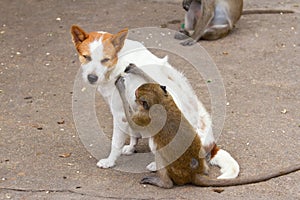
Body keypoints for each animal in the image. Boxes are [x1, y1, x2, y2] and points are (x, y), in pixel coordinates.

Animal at [70, 25, 239, 178]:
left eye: (105, 59)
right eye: (86, 57)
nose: (92, 78)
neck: (119, 60)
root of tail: (211, 144)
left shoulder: (119, 115)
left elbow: (115, 143)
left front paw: (110, 161)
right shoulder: (130, 110)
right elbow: (133, 133)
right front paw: (131, 147)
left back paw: (155, 165)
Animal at [115, 65, 300, 188]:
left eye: (137, 96)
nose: (135, 96)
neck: (161, 103)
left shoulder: (147, 115)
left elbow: (132, 120)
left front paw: (121, 86)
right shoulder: (167, 97)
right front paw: (135, 69)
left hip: (177, 169)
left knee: (160, 150)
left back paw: (163, 180)